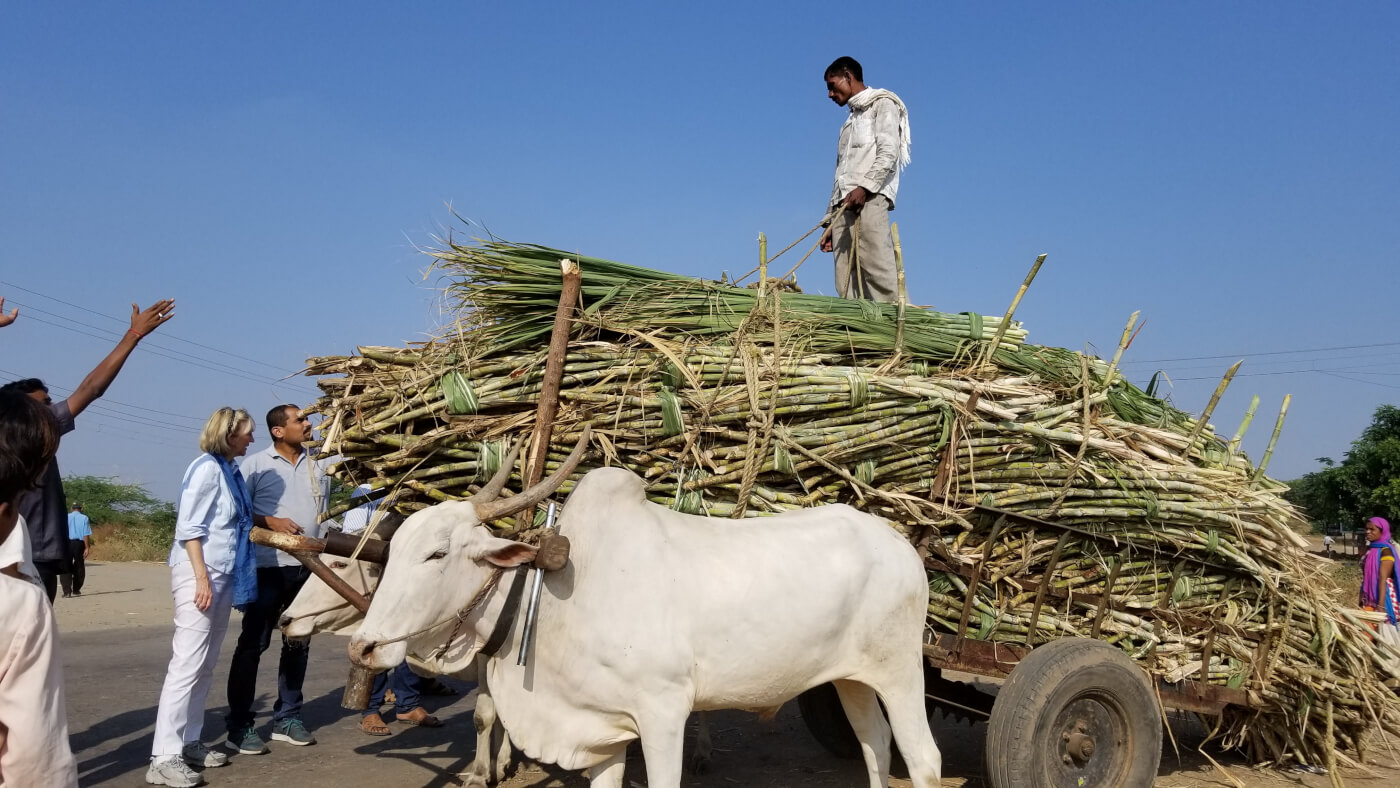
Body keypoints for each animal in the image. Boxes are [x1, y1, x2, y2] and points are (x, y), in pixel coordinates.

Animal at [348, 431, 942, 788]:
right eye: (392, 549)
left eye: (436, 553)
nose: (363, 647)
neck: (553, 604)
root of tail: (899, 542)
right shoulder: (601, 729)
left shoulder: (663, 713)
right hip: (852, 679)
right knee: (875, 746)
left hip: (901, 673)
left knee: (923, 759)